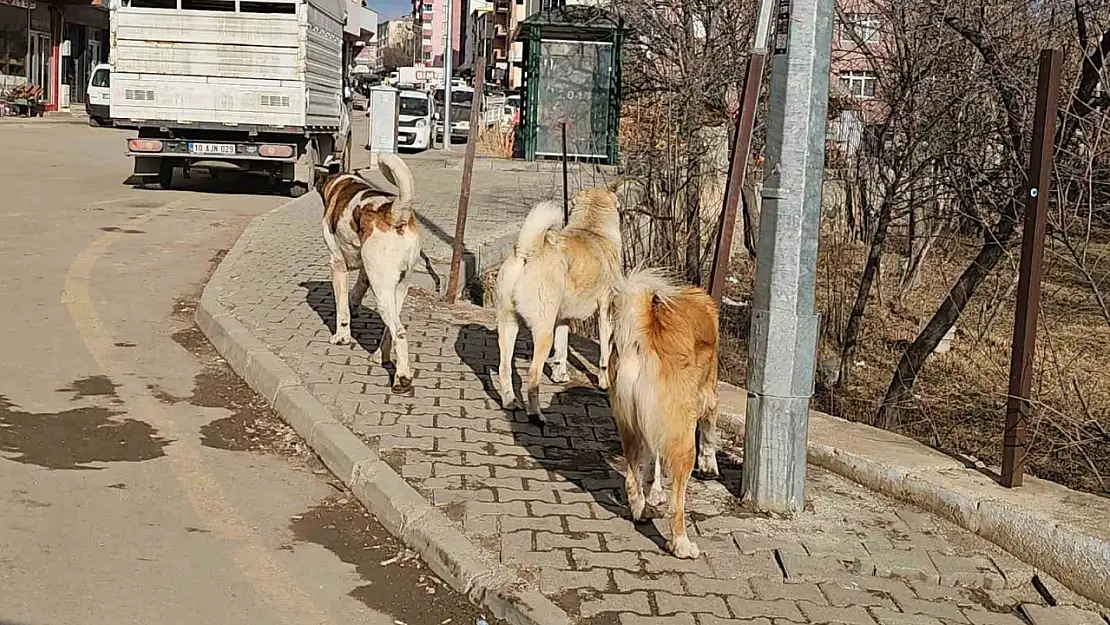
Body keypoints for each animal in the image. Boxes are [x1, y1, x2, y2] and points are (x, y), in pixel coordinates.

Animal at [324, 153, 421, 390]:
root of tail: (395, 213)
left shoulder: (337, 265)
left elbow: (342, 309)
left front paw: (341, 337)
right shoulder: (365, 272)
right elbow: (356, 290)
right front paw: (354, 304)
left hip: (382, 291)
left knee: (400, 332)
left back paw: (402, 378)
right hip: (397, 288)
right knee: (390, 329)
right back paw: (379, 356)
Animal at [495, 185, 626, 419]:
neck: (592, 229)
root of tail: (529, 250)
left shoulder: (563, 318)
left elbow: (562, 349)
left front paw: (559, 375)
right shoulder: (605, 313)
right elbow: (604, 356)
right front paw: (604, 383)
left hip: (508, 324)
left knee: (504, 367)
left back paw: (511, 402)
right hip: (543, 332)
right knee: (533, 375)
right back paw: (536, 414)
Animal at [608, 267, 719, 557]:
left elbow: (653, 458)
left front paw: (653, 488)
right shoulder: (708, 394)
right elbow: (710, 430)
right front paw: (709, 464)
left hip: (629, 426)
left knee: (632, 477)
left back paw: (641, 509)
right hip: (682, 440)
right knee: (676, 506)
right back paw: (681, 544)